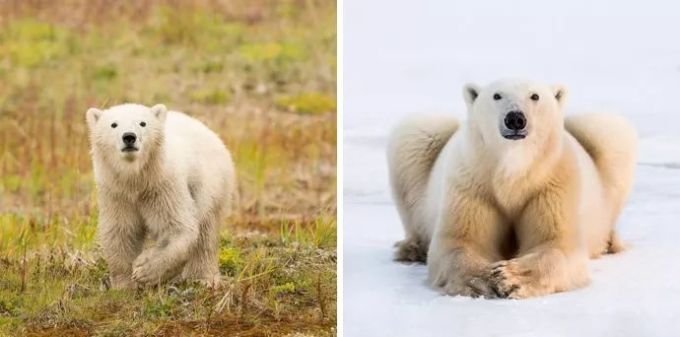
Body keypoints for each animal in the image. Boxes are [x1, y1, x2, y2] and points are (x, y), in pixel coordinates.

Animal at [85, 103, 236, 288]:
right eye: (114, 124)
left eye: (142, 123)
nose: (129, 137)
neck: (137, 181)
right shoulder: (116, 194)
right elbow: (121, 233)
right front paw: (124, 285)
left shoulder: (164, 187)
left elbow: (177, 227)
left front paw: (144, 270)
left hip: (212, 185)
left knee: (205, 233)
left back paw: (201, 278)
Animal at [388, 79, 636, 300]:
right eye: (496, 95)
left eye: (535, 96)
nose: (515, 118)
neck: (512, 171)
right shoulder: (473, 183)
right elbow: (460, 241)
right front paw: (484, 280)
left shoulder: (551, 182)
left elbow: (556, 242)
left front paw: (510, 277)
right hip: (423, 142)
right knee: (417, 131)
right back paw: (412, 248)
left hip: (602, 143)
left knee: (606, 130)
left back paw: (610, 242)